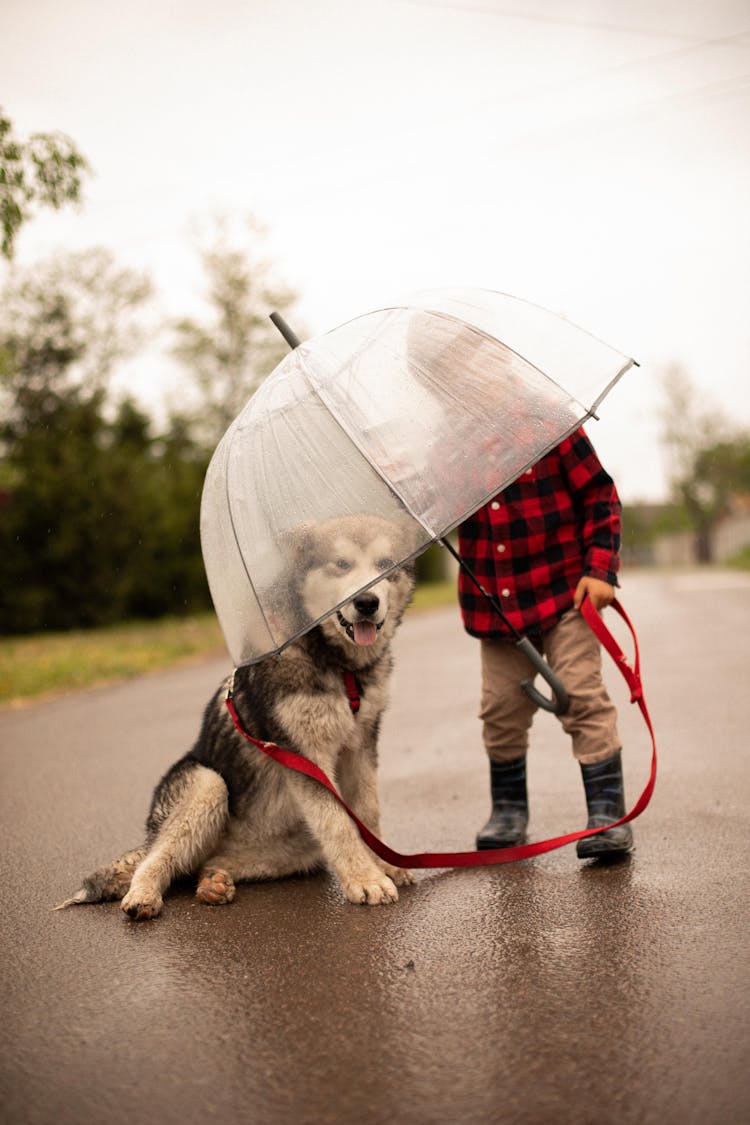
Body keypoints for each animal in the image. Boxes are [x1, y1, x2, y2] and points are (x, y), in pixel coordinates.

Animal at [60, 515, 416, 918]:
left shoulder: (362, 744)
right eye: (341, 565)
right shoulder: (305, 755)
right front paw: (366, 879)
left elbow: (367, 813)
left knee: (201, 864)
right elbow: (338, 823)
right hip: (207, 785)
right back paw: (143, 895)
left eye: (385, 565)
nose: (367, 602)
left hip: (295, 848)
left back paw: (213, 882)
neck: (339, 667)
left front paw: (385, 864)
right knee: (158, 858)